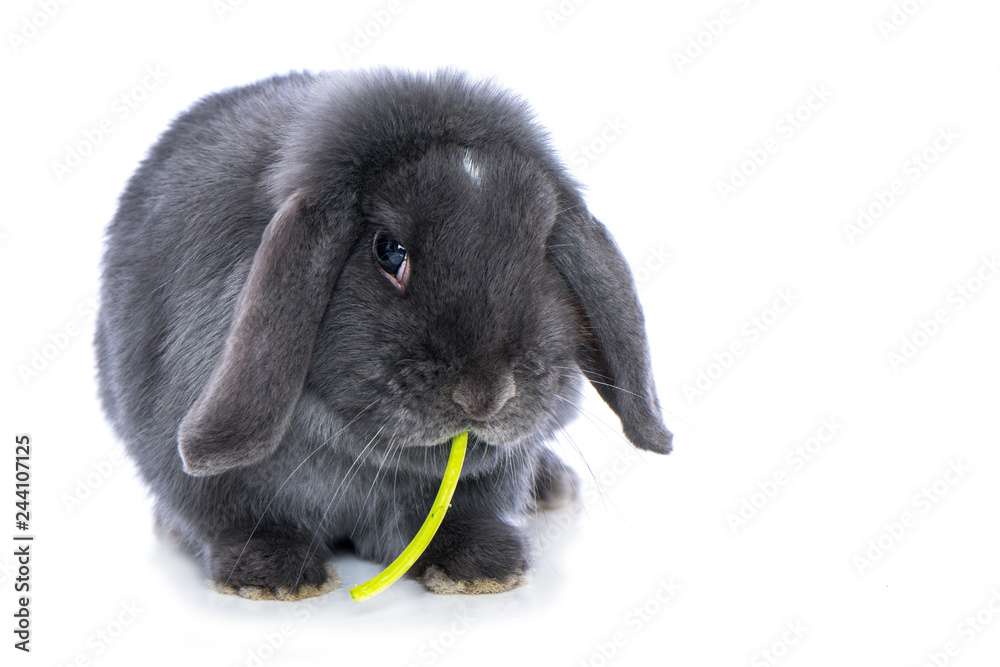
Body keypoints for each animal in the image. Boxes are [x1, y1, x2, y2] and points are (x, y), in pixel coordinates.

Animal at [95, 68, 673, 601]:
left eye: (543, 250)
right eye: (390, 251)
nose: (486, 395)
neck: (361, 459)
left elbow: (467, 512)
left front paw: (482, 569)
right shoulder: (204, 478)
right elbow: (234, 519)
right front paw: (273, 577)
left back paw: (553, 485)